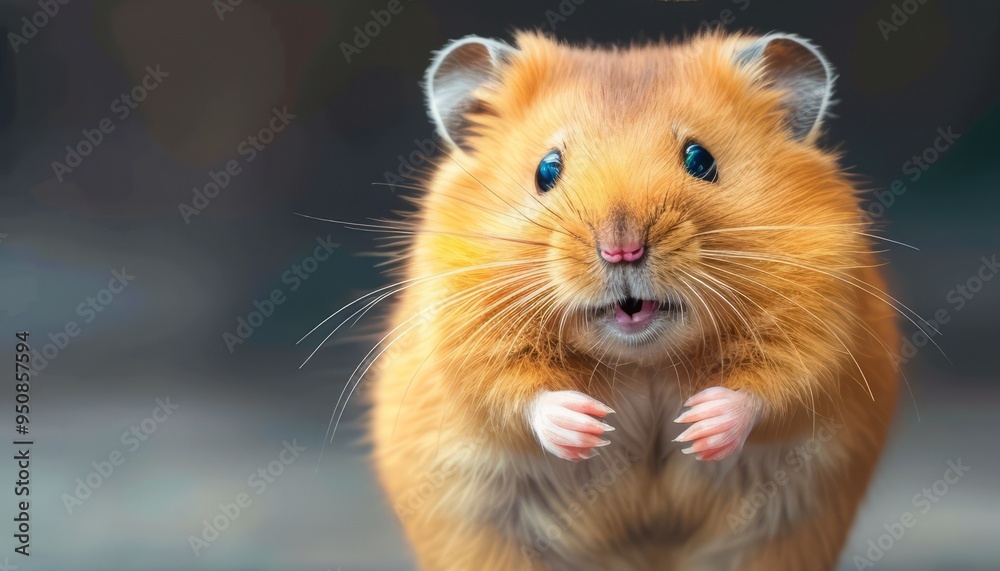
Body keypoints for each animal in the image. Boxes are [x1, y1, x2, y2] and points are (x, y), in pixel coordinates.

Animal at [365, 30, 900, 570]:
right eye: (546, 170)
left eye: (701, 160)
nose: (621, 248)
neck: (643, 360)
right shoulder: (459, 322)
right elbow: (513, 392)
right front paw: (589, 425)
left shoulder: (825, 314)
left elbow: (776, 387)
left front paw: (696, 424)